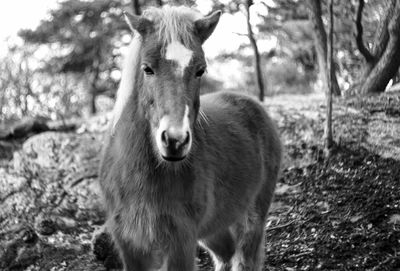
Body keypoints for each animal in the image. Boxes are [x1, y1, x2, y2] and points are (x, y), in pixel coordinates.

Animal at [99, 4, 282, 271]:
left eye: (200, 70)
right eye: (147, 68)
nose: (175, 141)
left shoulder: (181, 242)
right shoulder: (131, 245)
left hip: (252, 217)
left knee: (243, 257)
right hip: (213, 228)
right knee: (225, 255)